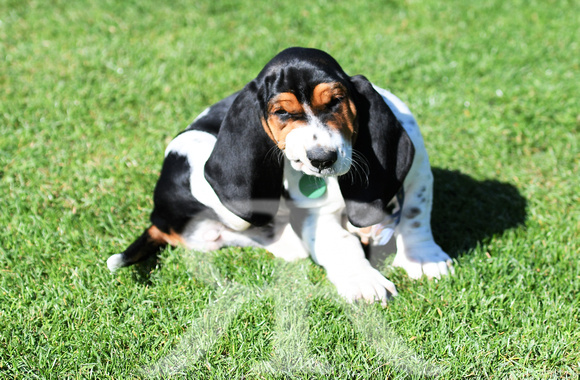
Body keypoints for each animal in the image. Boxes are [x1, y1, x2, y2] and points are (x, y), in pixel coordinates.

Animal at [107, 46, 454, 302]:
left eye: (336, 102)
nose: (321, 159)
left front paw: (425, 259)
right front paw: (363, 280)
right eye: (283, 113)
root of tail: (158, 216)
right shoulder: (316, 215)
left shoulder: (420, 173)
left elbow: (415, 216)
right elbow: (340, 241)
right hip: (200, 160)